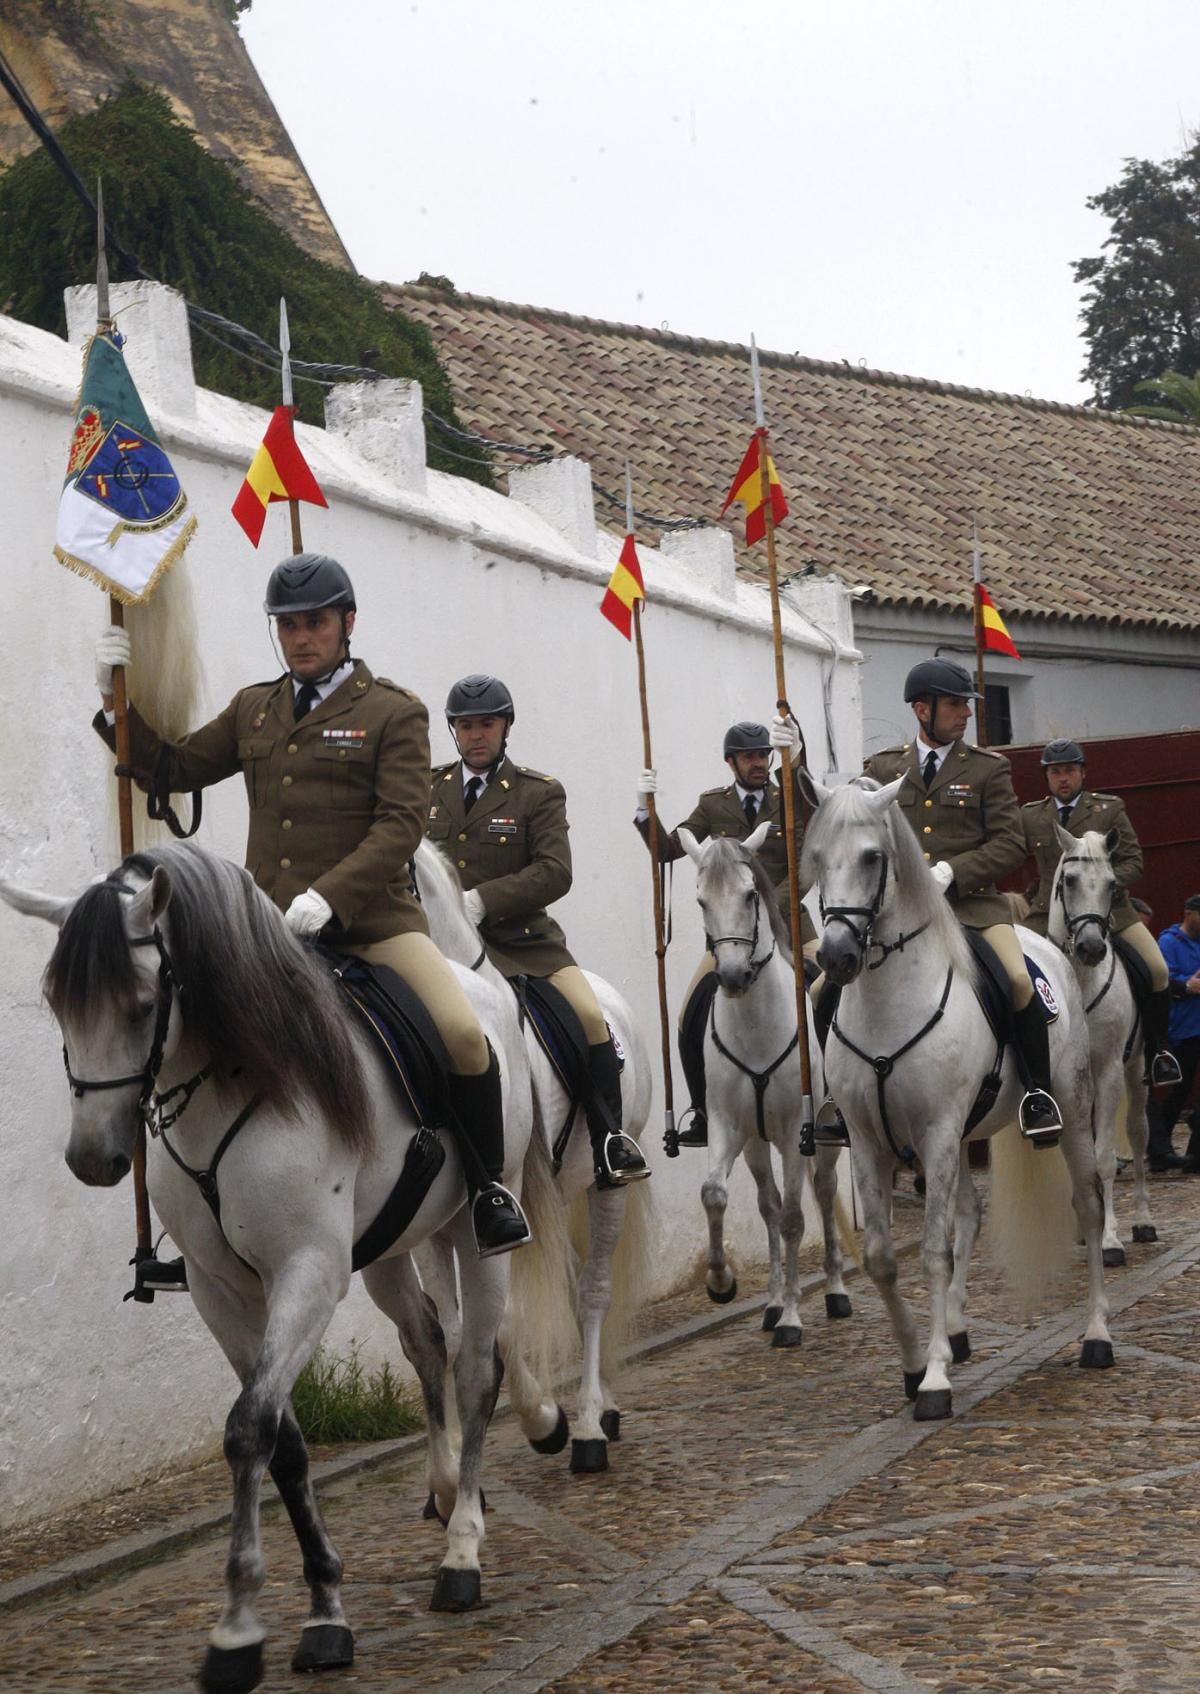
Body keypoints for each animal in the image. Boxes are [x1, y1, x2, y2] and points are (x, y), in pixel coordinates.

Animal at [0, 847, 572, 1694]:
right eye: (57, 1004)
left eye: (141, 1005)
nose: (93, 1160)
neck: (237, 1078)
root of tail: (484, 987)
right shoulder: (220, 1292)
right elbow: (284, 1440)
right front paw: (324, 1610)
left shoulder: (307, 1273)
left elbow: (248, 1429)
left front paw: (240, 1630)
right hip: (392, 1250)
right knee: (428, 1342)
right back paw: (441, 1489)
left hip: (479, 1228)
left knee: (475, 1369)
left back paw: (462, 1551)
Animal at [411, 840, 657, 1477]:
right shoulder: (436, 1229)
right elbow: (455, 1333)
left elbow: (505, 1322)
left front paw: (546, 1421)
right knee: (573, 1289)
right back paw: (601, 1410)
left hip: (606, 1184)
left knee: (593, 1291)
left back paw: (591, 1425)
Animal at [674, 823, 854, 1348]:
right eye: (700, 900)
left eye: (751, 894)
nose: (733, 976)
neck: (755, 1026)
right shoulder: (727, 1127)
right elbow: (717, 1195)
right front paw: (722, 1283)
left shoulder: (797, 1130)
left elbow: (796, 1219)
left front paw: (793, 1318)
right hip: (757, 1142)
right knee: (768, 1205)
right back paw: (772, 1304)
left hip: (823, 1136)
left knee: (823, 1191)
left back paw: (834, 1292)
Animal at [800, 775, 1111, 1416]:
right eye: (817, 857)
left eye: (873, 858)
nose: (837, 957)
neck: (888, 1002)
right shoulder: (869, 1141)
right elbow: (883, 1258)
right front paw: (915, 1363)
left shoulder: (938, 1131)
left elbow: (932, 1252)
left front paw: (936, 1380)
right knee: (969, 1211)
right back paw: (962, 1331)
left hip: (1069, 1110)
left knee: (1088, 1205)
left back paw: (1096, 1334)